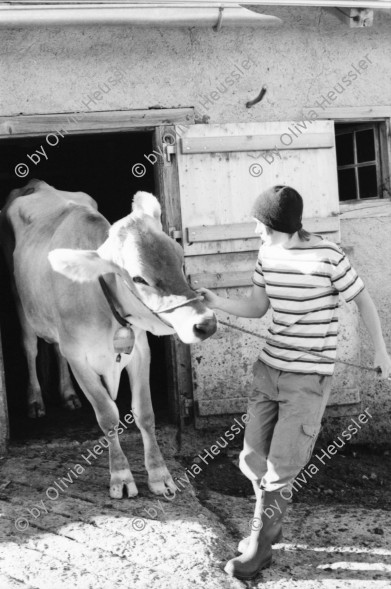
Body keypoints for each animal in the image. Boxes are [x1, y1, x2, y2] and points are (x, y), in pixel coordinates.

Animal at [0, 179, 217, 496]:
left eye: (180, 260)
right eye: (138, 278)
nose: (205, 323)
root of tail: (36, 183)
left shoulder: (140, 351)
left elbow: (145, 414)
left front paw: (159, 474)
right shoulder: (79, 358)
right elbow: (107, 415)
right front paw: (122, 476)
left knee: (56, 351)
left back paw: (68, 395)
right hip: (20, 303)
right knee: (30, 348)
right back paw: (36, 401)